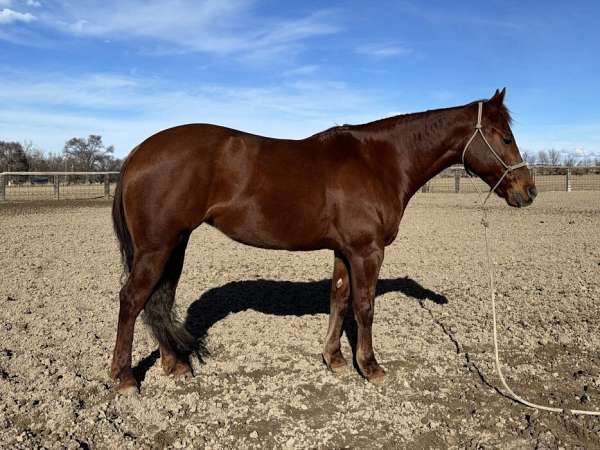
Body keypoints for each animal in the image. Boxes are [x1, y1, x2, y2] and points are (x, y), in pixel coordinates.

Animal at [111, 88, 536, 394]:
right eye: (505, 137)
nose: (527, 191)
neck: (379, 161)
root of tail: (137, 153)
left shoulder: (344, 250)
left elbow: (339, 299)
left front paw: (334, 359)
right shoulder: (367, 251)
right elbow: (364, 307)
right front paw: (371, 367)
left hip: (174, 244)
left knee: (158, 300)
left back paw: (175, 366)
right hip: (157, 247)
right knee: (132, 300)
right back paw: (125, 378)